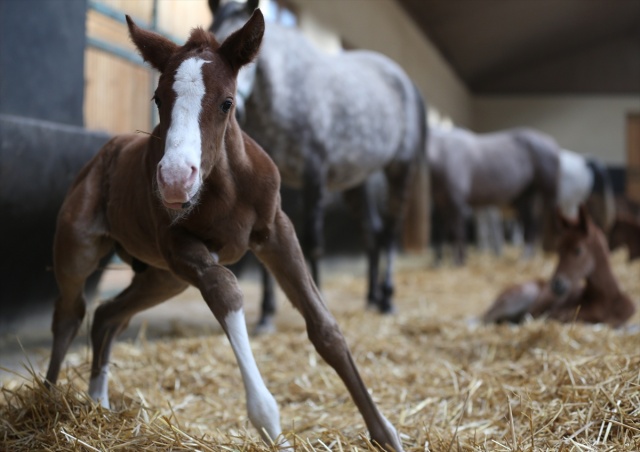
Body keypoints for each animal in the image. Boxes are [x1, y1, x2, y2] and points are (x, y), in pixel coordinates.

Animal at [45, 11, 402, 452]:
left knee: (107, 316)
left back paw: (99, 403)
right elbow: (227, 291)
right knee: (70, 313)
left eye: (227, 102)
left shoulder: (277, 232)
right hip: (81, 249)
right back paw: (45, 400)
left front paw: (385, 433)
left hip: (163, 278)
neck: (229, 187)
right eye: (158, 99)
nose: (175, 181)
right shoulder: (178, 245)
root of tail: (102, 155)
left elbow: (326, 329)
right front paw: (268, 422)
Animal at [211, 0, 430, 332]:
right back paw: (372, 297)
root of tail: (406, 82)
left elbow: (313, 243)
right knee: (372, 234)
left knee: (390, 232)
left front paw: (318, 305)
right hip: (357, 185)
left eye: (242, 54)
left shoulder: (314, 176)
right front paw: (266, 315)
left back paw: (388, 299)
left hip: (399, 170)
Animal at [430, 125, 560, 264]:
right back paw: (526, 256)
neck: (444, 153)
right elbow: (443, 232)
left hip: (547, 195)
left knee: (543, 223)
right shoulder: (441, 204)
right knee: (531, 226)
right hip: (525, 198)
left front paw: (459, 261)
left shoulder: (456, 204)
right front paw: (440, 261)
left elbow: (457, 232)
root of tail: (551, 142)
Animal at [484, 207, 636, 326]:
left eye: (578, 249)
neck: (607, 298)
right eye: (559, 250)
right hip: (522, 295)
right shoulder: (556, 313)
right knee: (486, 318)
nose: (556, 284)